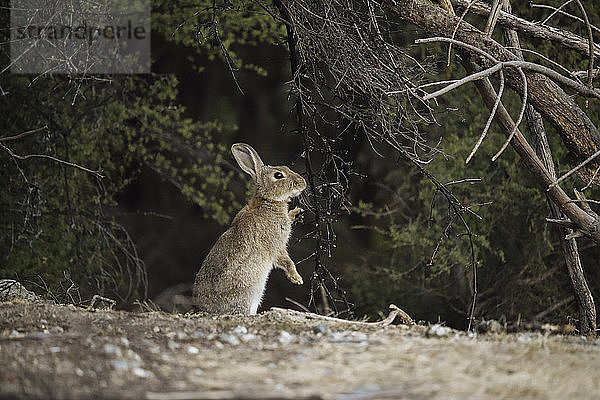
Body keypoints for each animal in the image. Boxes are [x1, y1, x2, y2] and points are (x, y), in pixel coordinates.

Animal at [193, 142, 308, 314]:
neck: (268, 202)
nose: (303, 183)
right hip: (249, 293)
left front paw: (296, 212)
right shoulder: (276, 244)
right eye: (278, 175)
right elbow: (286, 261)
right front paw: (297, 279)